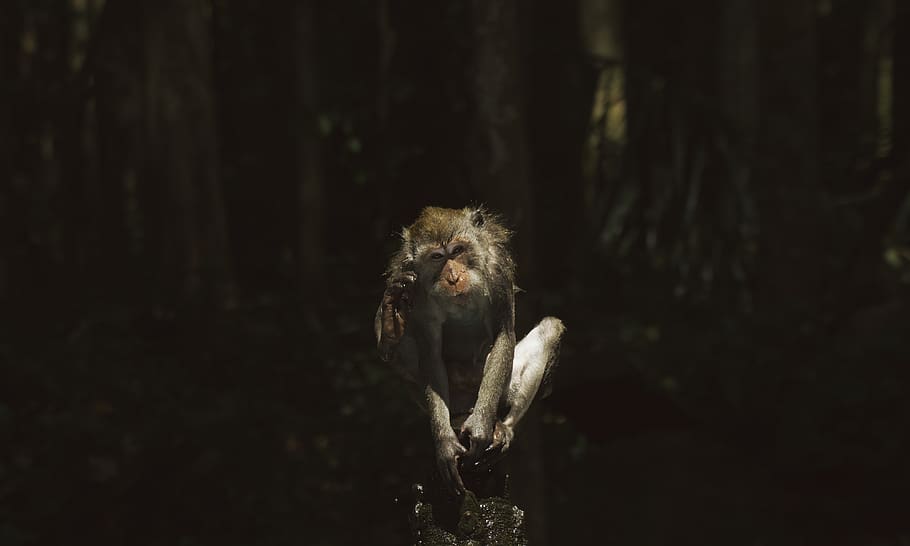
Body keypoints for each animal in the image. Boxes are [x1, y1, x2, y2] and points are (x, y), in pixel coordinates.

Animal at [375, 206, 564, 496]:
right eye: (437, 257)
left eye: (458, 250)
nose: (453, 277)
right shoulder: (415, 289)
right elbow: (430, 354)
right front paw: (444, 445)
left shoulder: (497, 271)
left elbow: (503, 335)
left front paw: (481, 428)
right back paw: (391, 325)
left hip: (502, 389)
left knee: (550, 328)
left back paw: (503, 428)